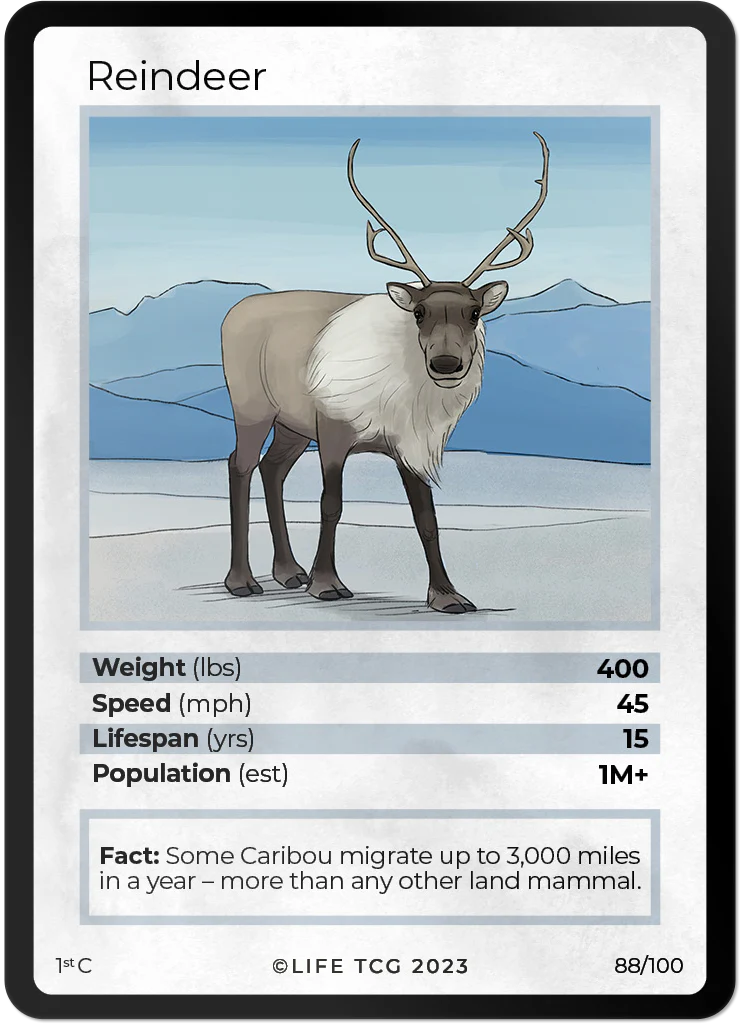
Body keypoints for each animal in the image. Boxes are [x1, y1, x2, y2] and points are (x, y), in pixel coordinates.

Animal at [221, 131, 549, 613]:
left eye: (473, 312)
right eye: (419, 311)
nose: (446, 364)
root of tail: (232, 313)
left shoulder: (410, 444)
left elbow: (426, 517)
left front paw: (447, 596)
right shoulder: (333, 430)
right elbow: (331, 503)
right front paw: (327, 584)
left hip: (292, 423)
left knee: (272, 469)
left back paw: (289, 572)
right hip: (252, 407)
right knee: (240, 464)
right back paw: (242, 580)